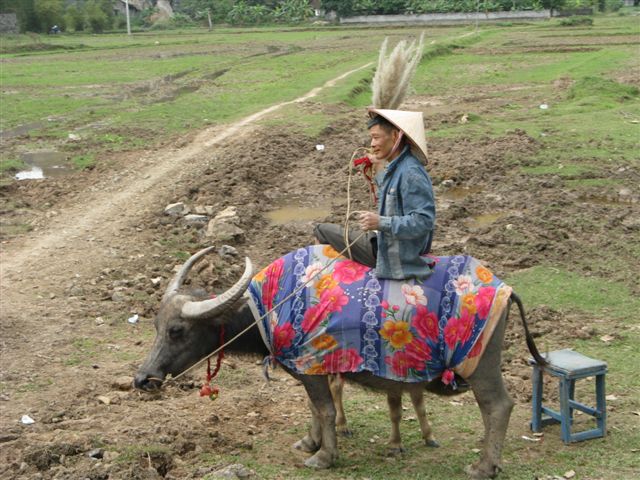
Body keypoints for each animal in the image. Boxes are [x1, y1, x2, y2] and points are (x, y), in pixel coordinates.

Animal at [135, 248, 544, 480]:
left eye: (176, 330)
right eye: (155, 325)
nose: (143, 378)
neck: (271, 306)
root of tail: (506, 289)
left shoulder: (312, 366)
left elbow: (327, 410)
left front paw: (324, 456)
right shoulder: (308, 369)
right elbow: (315, 409)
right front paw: (310, 442)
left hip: (481, 365)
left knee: (498, 406)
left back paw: (484, 466)